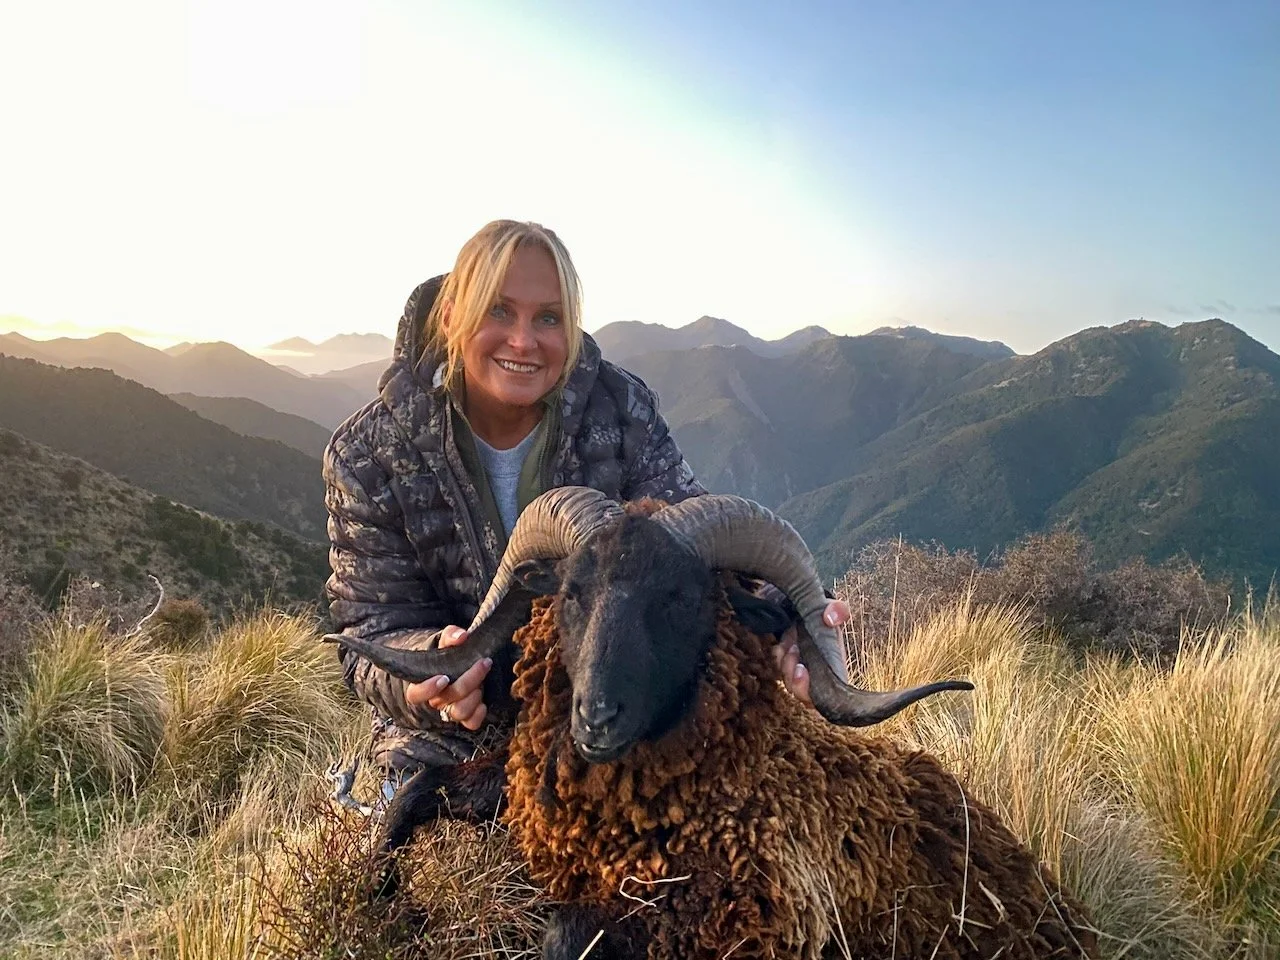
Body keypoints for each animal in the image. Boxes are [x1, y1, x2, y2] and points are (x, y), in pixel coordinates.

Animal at [332, 487, 1098, 959]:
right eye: (574, 591)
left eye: (680, 599)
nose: (595, 717)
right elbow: (413, 794)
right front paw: (378, 896)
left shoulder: (739, 922)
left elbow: (565, 933)